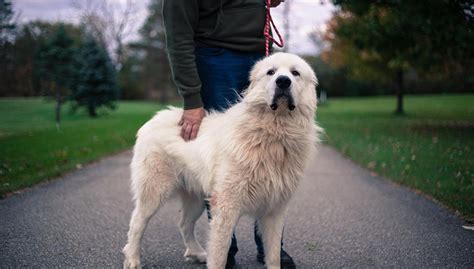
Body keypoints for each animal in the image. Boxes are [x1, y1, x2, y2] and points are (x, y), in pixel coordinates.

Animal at [122, 52, 322, 268]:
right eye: (271, 72)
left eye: (295, 73)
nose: (283, 81)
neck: (273, 133)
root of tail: (155, 118)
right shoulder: (227, 207)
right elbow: (219, 253)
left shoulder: (274, 210)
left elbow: (274, 254)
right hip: (154, 192)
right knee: (136, 223)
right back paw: (132, 259)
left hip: (197, 198)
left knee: (184, 224)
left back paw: (197, 253)